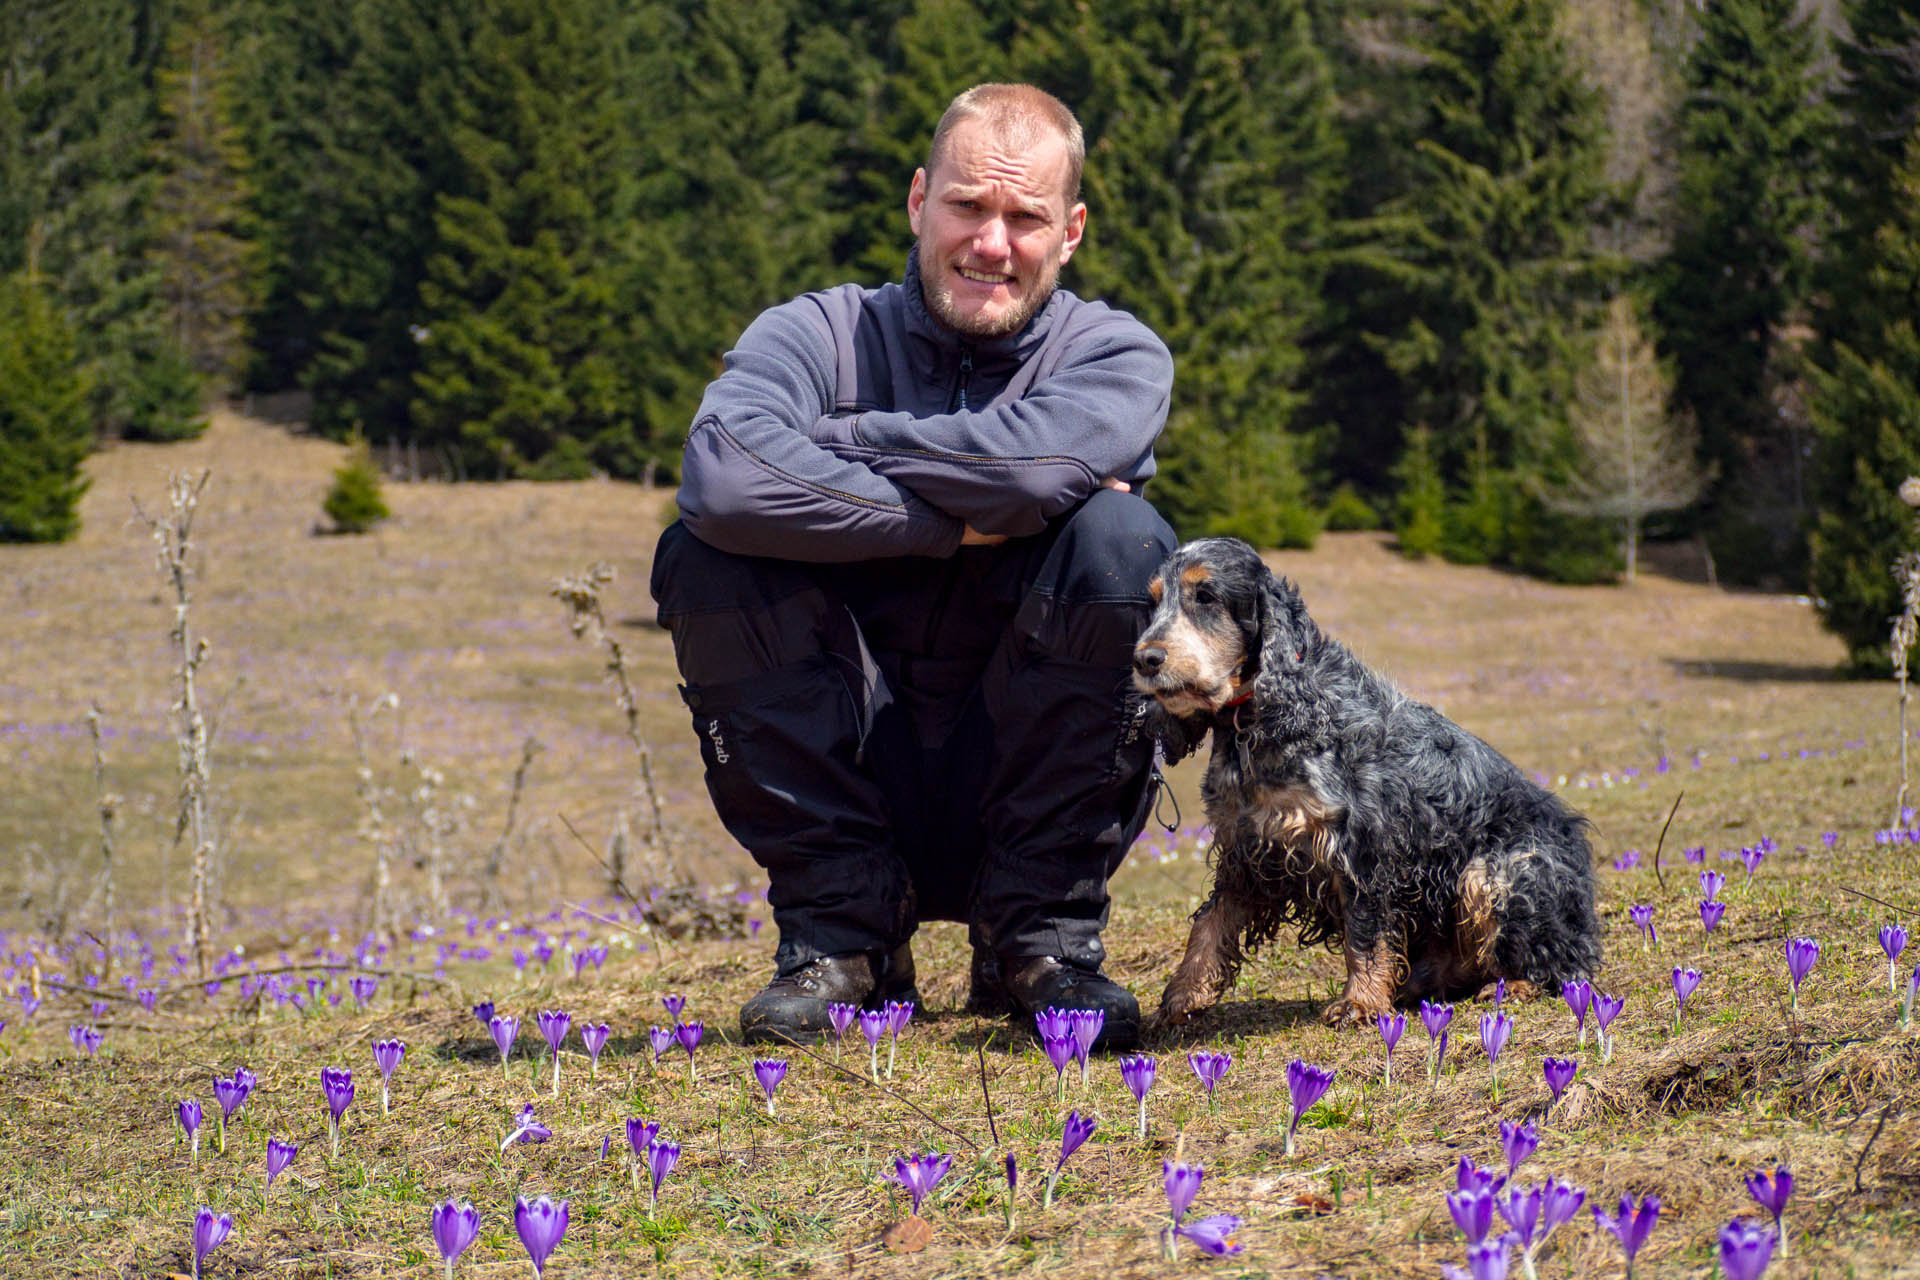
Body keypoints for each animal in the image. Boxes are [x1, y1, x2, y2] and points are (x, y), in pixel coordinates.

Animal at [1128, 537, 1597, 1028]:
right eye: (1153, 602)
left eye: (1205, 596)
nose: (1144, 659)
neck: (1262, 719)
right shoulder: (1248, 848)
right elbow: (1209, 923)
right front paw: (1180, 997)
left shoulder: (1361, 845)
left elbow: (1365, 930)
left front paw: (1361, 1001)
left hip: (1494, 873)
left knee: (1561, 963)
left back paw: (1516, 984)